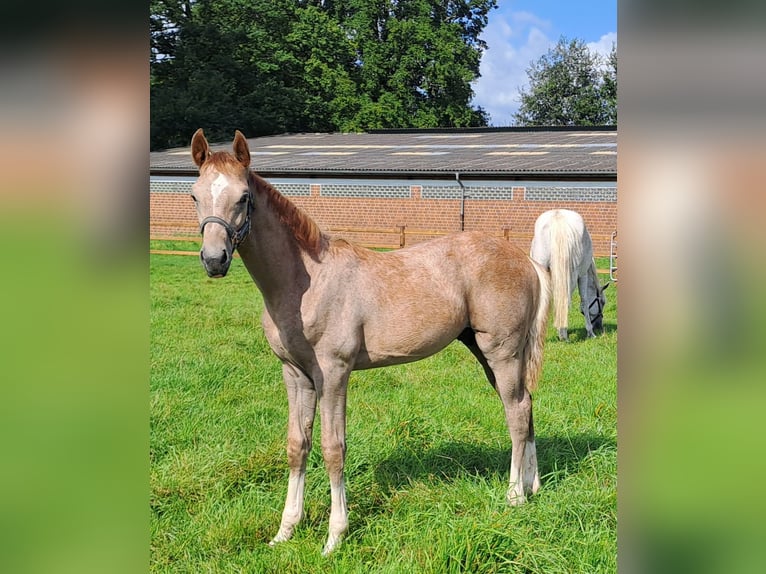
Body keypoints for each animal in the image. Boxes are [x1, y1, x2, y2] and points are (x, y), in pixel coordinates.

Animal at [532, 209, 608, 340]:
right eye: (602, 302)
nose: (599, 326)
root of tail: (557, 217)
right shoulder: (583, 275)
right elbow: (584, 301)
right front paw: (590, 332)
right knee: (565, 301)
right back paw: (564, 335)